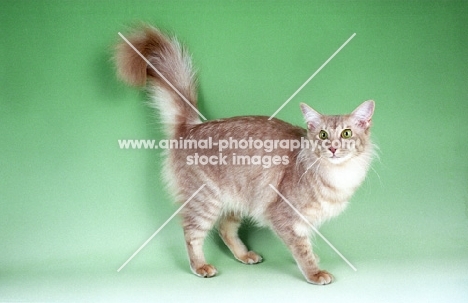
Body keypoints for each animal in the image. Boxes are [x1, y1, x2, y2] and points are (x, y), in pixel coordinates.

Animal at [115, 25, 374, 284]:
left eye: (346, 134)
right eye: (322, 135)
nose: (333, 148)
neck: (338, 175)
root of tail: (192, 127)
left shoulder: (304, 220)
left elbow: (306, 243)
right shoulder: (286, 217)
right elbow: (303, 249)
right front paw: (314, 272)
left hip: (236, 200)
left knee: (224, 229)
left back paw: (244, 255)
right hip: (205, 201)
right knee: (191, 233)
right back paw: (201, 266)